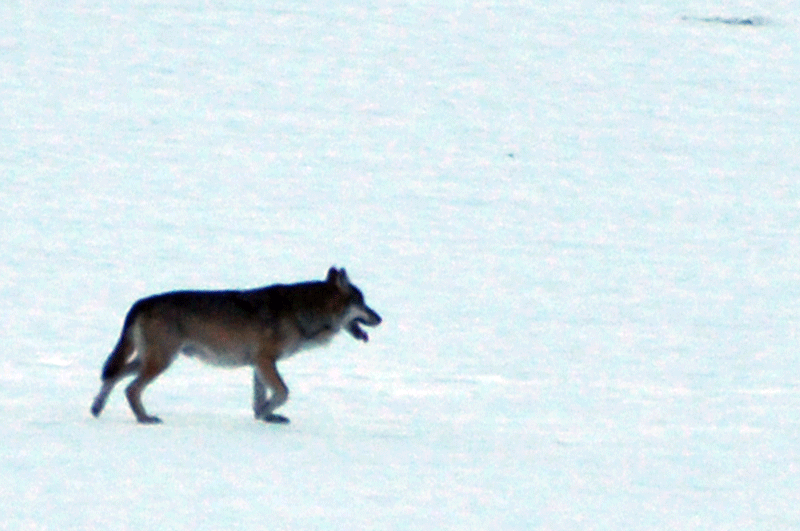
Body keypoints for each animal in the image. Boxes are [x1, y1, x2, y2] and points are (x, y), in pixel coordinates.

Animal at [90, 267, 382, 424]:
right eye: (363, 303)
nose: (380, 318)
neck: (304, 312)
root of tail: (141, 302)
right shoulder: (265, 361)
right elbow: (283, 393)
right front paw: (266, 414)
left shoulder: (259, 364)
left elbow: (261, 398)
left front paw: (265, 417)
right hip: (161, 361)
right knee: (130, 388)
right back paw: (144, 418)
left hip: (151, 359)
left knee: (112, 376)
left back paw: (97, 409)